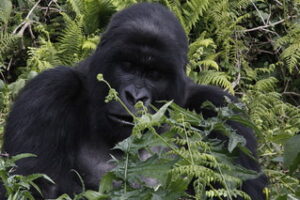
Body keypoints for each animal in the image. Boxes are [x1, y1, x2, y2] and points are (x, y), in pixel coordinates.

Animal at [0, 1, 268, 200]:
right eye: (127, 66)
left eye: (154, 74)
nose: (135, 97)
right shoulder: (46, 94)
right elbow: (31, 185)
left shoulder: (222, 109)